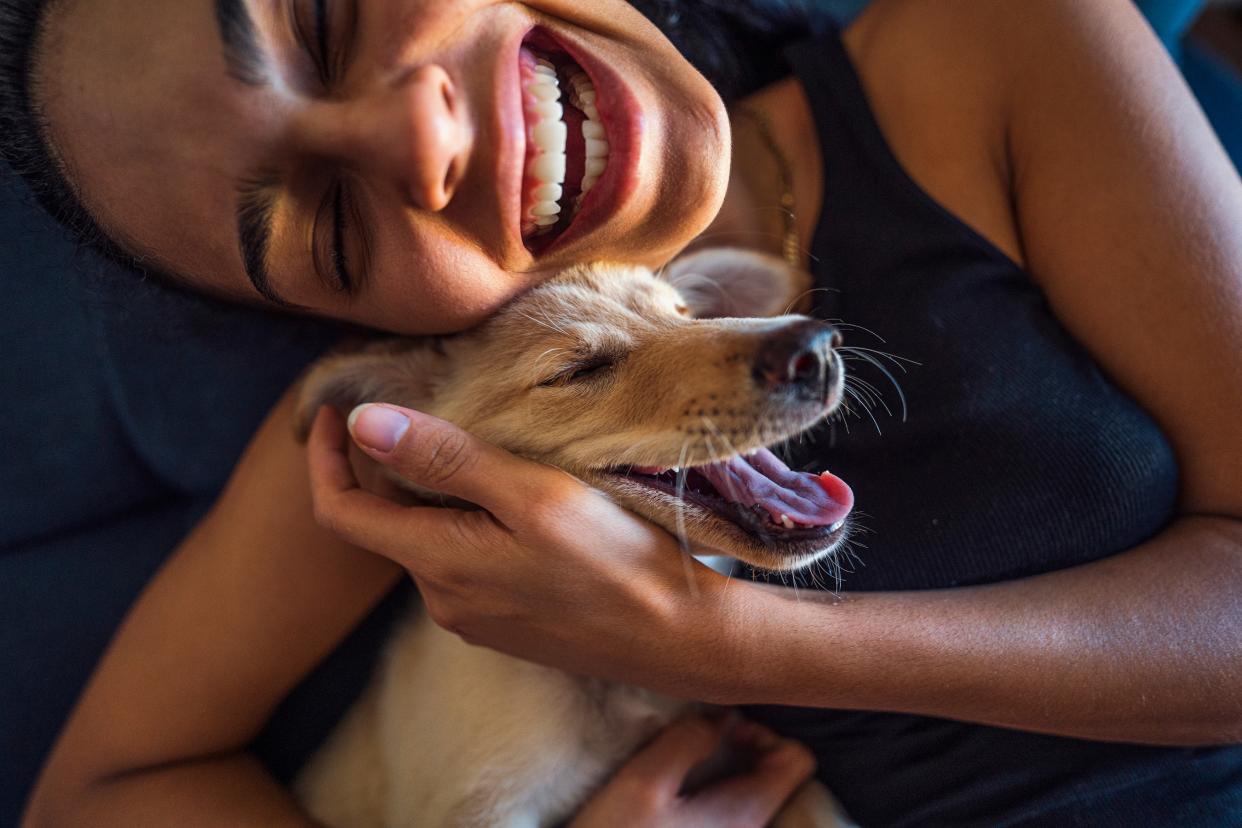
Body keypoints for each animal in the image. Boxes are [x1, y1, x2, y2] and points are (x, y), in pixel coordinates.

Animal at [293, 248, 854, 828]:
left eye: (685, 315)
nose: (814, 347)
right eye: (578, 370)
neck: (614, 685)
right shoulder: (477, 807)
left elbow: (817, 802)